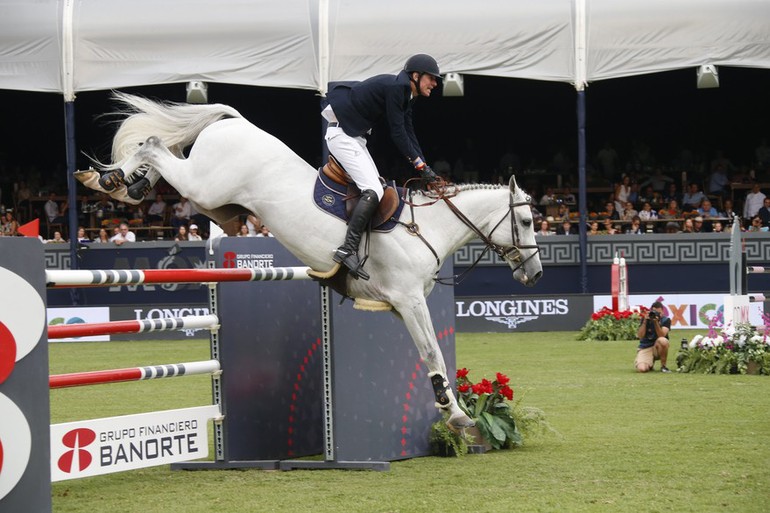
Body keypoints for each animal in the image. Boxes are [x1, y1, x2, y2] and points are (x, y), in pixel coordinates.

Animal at [76, 94, 540, 430]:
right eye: (526, 221)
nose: (534, 274)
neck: (423, 228)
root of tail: (236, 121)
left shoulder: (399, 306)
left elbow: (430, 352)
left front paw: (450, 405)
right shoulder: (407, 299)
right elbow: (432, 353)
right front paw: (456, 412)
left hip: (210, 195)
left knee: (161, 154)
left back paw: (125, 185)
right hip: (206, 187)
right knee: (155, 147)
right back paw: (111, 181)